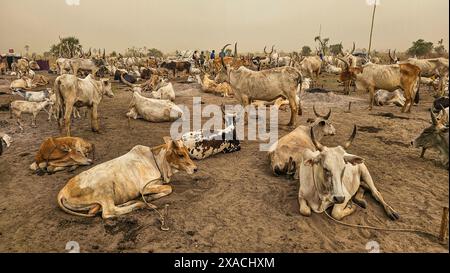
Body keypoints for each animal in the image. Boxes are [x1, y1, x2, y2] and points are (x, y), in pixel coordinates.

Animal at [56, 137, 197, 218]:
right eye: (180, 154)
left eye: (187, 152)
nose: (195, 169)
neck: (156, 161)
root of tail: (63, 191)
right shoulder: (145, 187)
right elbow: (169, 188)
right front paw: (150, 198)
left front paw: (150, 197)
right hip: (105, 189)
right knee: (108, 212)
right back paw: (142, 204)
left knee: (96, 210)